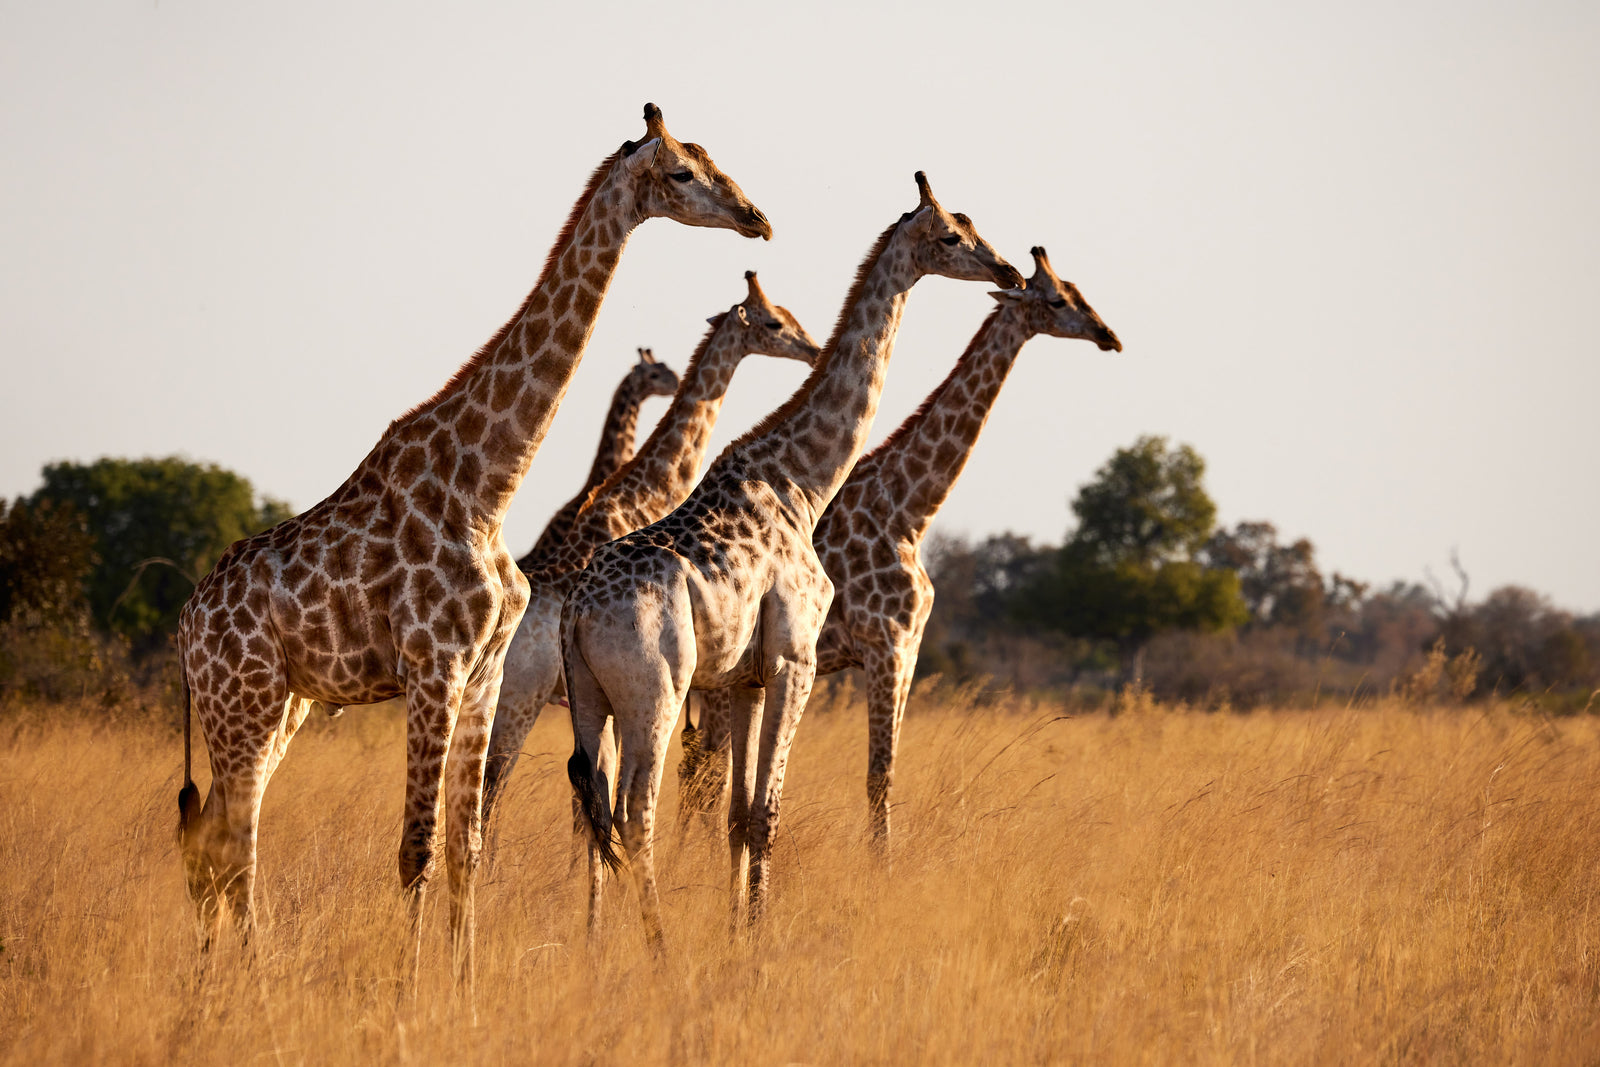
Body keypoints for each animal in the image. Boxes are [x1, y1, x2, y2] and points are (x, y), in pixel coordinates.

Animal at [562, 173, 1023, 947]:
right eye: (953, 236)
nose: (1011, 272)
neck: (802, 481)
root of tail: (573, 613)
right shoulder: (794, 658)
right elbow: (768, 814)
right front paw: (756, 943)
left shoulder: (745, 678)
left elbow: (737, 816)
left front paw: (737, 934)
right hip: (656, 690)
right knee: (634, 812)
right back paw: (659, 949)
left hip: (591, 699)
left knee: (594, 806)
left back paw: (597, 944)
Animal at [679, 246, 1122, 845]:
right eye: (1056, 300)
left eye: (1079, 293)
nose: (1108, 335)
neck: (910, 511)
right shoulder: (884, 645)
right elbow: (877, 776)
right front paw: (879, 863)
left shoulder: (910, 648)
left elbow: (888, 772)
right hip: (722, 676)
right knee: (705, 770)